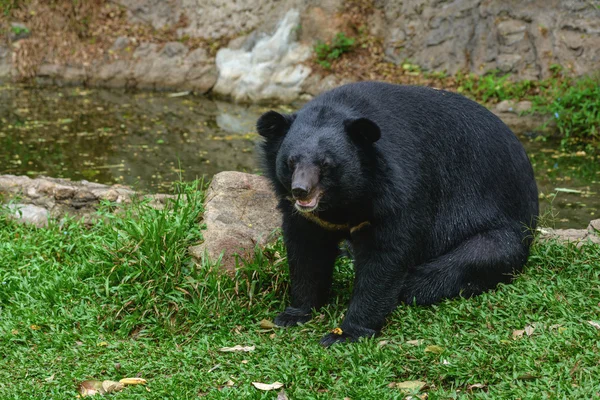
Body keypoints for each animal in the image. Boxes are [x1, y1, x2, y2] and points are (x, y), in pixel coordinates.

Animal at [255, 82, 536, 346]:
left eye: (326, 164)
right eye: (291, 162)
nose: (301, 191)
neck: (343, 200)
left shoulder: (398, 193)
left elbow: (384, 258)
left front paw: (344, 334)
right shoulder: (307, 217)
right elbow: (307, 252)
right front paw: (293, 314)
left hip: (500, 223)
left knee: (474, 258)